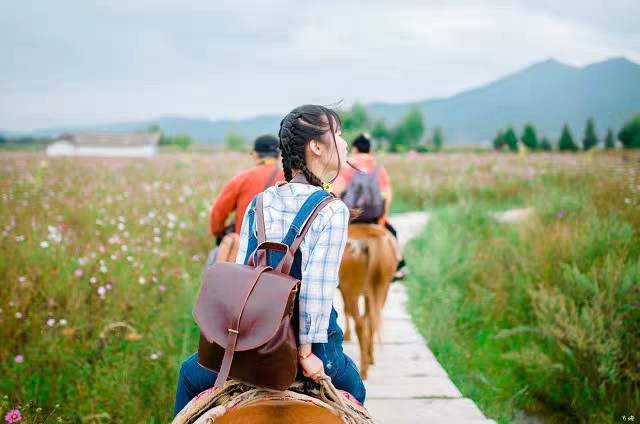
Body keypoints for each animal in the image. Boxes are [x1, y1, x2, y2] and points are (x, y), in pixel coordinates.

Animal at [338, 224, 398, 380]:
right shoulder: (367, 294)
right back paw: (369, 359)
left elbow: (345, 310)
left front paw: (347, 335)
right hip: (382, 288)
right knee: (371, 320)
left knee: (359, 323)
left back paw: (363, 370)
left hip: (350, 289)